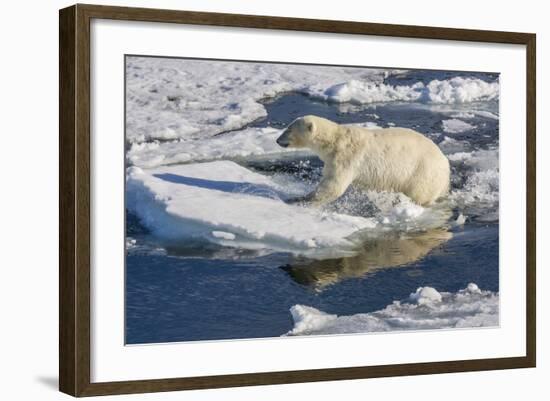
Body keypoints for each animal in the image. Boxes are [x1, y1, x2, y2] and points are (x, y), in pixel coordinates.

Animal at [278, 114, 450, 205]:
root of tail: (445, 163)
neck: (335, 139)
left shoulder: (346, 157)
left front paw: (298, 199)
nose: (278, 140)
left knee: (419, 194)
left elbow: (333, 186)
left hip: (422, 172)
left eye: (288, 129)